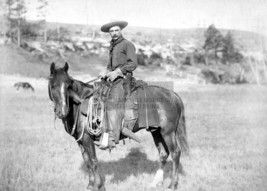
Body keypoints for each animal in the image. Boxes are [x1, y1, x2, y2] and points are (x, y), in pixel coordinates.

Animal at [48, 62, 191, 190]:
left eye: (68, 86)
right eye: (53, 86)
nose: (63, 112)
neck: (80, 103)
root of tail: (173, 95)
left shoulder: (87, 139)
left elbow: (93, 161)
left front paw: (99, 186)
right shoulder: (81, 140)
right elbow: (87, 161)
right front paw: (90, 185)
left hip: (168, 132)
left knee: (175, 153)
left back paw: (172, 185)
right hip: (156, 131)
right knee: (163, 153)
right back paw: (156, 183)